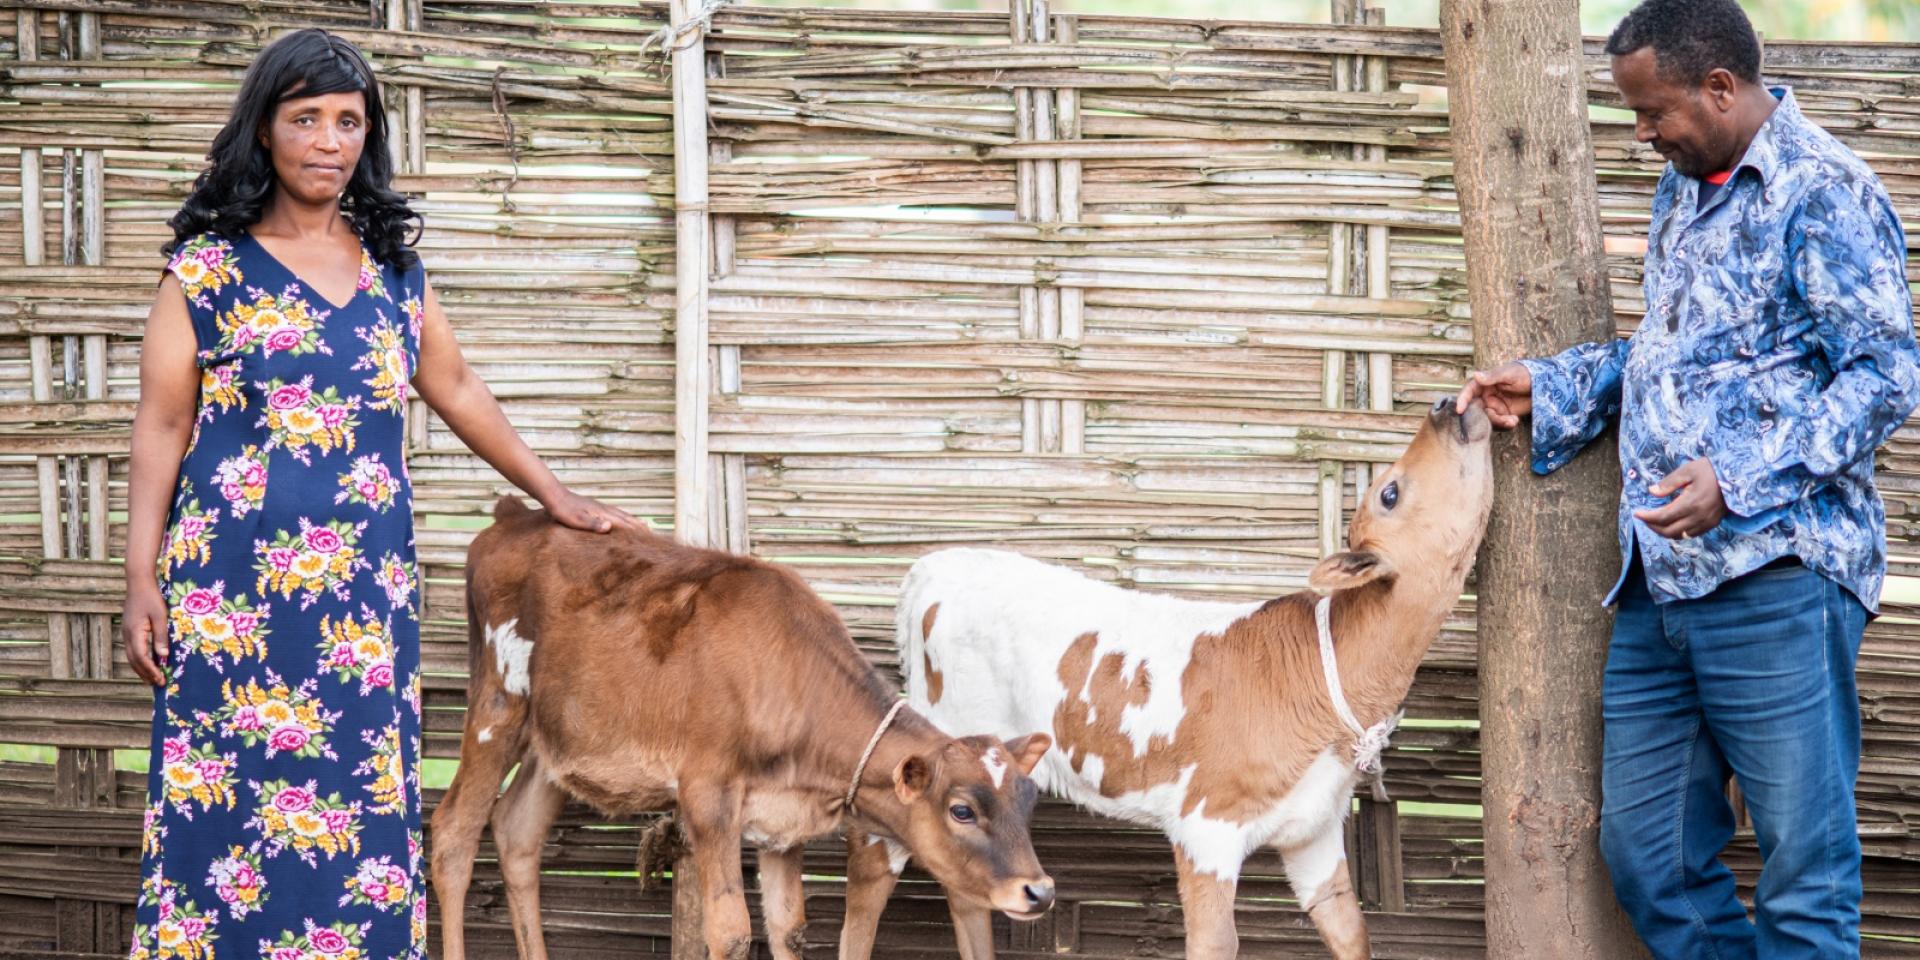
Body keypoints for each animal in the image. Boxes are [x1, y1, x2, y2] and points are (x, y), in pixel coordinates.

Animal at [435, 495, 1059, 960]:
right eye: (962, 810)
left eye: (1027, 801)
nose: (1040, 890)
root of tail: (515, 516)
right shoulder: (706, 793)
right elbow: (730, 931)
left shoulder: (783, 822)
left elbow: (790, 927)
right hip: (496, 707)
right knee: (453, 836)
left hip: (555, 740)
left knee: (516, 833)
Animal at [883, 401, 1497, 956]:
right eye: (1389, 492)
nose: (1445, 404)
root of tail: (934, 564)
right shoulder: (1207, 828)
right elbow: (1216, 941)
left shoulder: (1314, 828)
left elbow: (1349, 928)